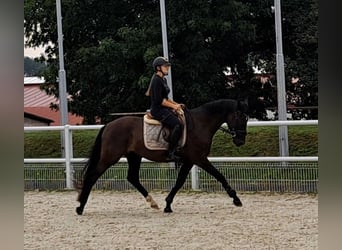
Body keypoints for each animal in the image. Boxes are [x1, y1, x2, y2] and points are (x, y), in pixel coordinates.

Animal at [75, 98, 254, 215]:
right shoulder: (199, 158)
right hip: (110, 157)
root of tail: (108, 125)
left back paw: (153, 203)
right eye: (240, 117)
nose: (240, 140)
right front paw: (236, 199)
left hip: (134, 156)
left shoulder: (190, 160)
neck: (200, 123)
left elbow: (179, 181)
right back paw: (80, 207)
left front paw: (168, 205)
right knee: (92, 175)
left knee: (132, 177)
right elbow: (219, 175)